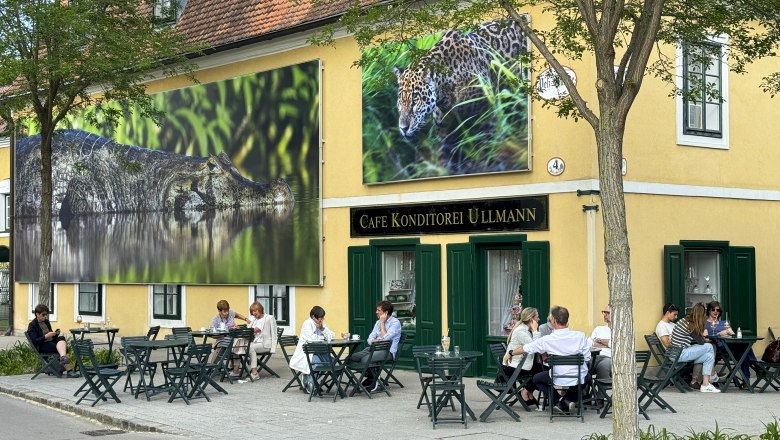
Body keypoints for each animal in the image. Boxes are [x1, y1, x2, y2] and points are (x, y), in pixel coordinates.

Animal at [394, 20, 528, 172]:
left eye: (415, 100)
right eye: (400, 101)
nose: (403, 128)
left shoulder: (486, 119)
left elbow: (487, 151)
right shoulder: (446, 135)